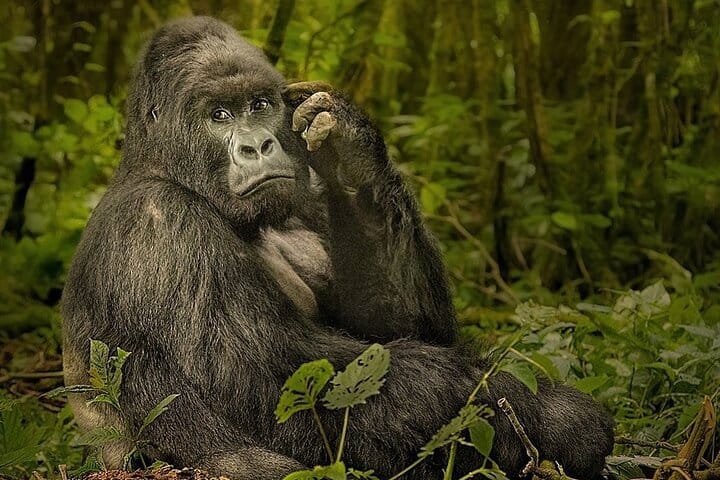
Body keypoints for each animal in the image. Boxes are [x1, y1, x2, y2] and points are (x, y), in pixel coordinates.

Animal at [62, 16, 614, 479]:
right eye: (218, 115)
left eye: (259, 105)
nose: (257, 146)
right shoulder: (159, 225)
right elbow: (281, 388)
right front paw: (553, 414)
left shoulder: (302, 197)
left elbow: (393, 326)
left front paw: (351, 150)